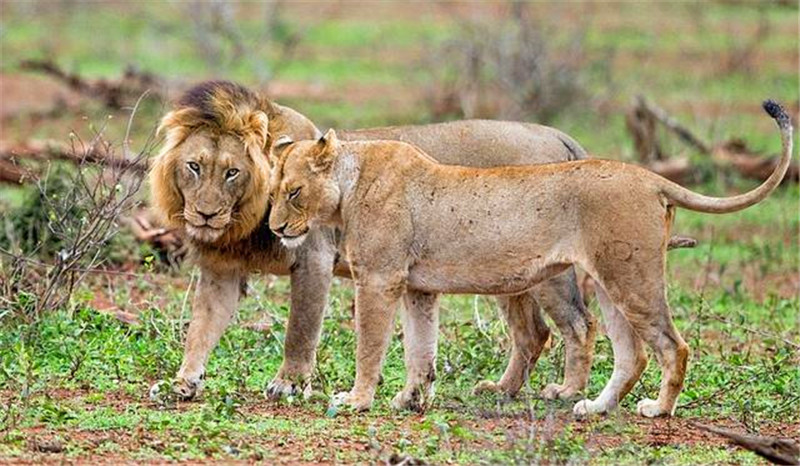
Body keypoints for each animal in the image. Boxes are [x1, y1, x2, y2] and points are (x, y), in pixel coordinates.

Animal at [266, 100, 792, 416]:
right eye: (270, 192)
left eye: (292, 192)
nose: (273, 228)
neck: (349, 183)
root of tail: (650, 177)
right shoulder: (418, 288)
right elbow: (421, 349)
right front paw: (410, 399)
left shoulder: (378, 278)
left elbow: (370, 345)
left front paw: (356, 400)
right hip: (610, 281)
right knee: (631, 353)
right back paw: (594, 407)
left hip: (629, 278)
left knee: (669, 345)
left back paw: (657, 409)